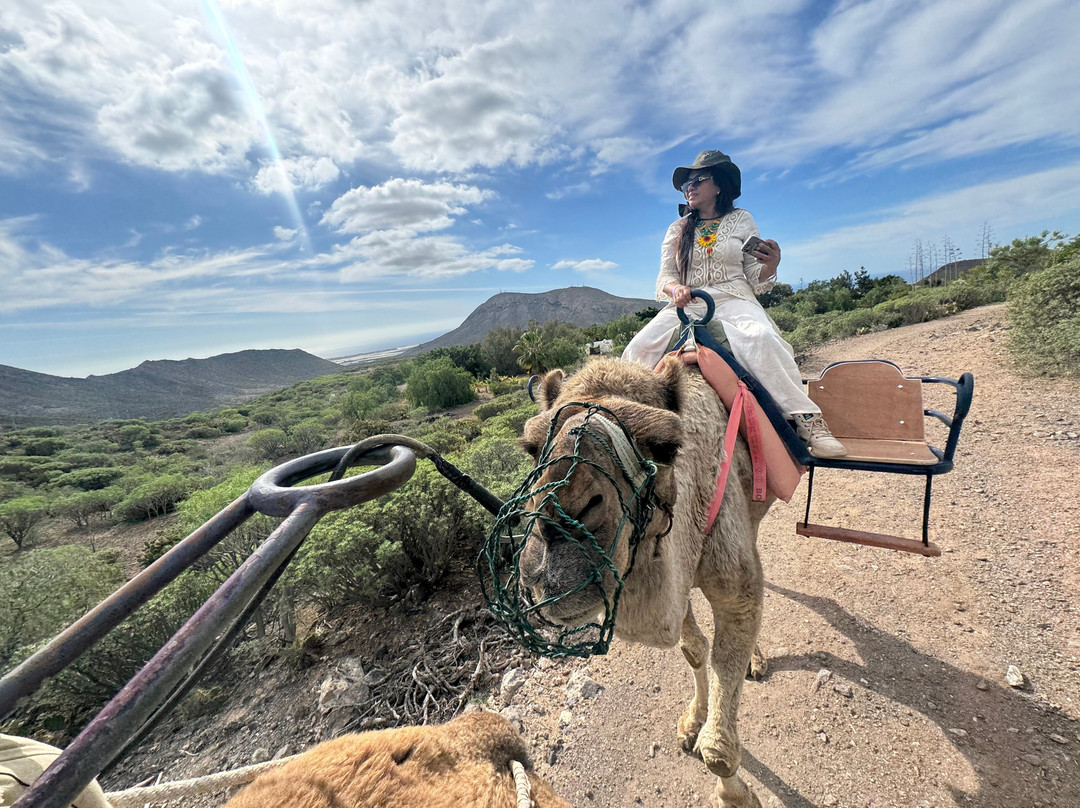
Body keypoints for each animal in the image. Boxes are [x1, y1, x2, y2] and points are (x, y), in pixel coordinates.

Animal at [519, 355, 773, 808]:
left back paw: (755, 660)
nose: (558, 527)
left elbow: (718, 751)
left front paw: (738, 797)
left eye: (666, 446)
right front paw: (692, 722)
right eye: (532, 447)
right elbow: (693, 650)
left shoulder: (731, 575)